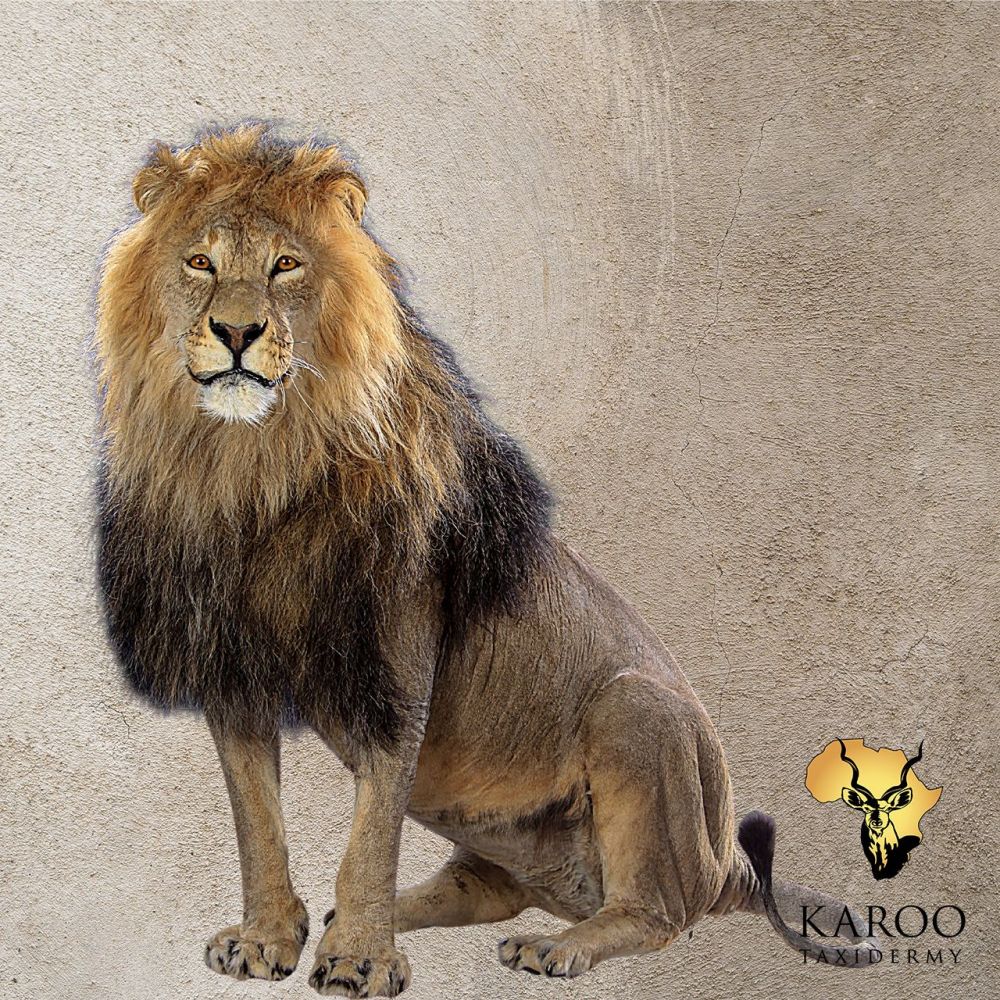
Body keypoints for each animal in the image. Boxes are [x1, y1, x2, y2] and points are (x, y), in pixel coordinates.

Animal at [95, 124, 877, 996]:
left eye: (285, 265)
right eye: (200, 262)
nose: (238, 334)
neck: (254, 468)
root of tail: (724, 862)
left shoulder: (397, 676)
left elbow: (369, 840)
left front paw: (359, 959)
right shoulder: (231, 673)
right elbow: (258, 825)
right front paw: (270, 939)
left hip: (640, 712)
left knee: (656, 912)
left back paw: (553, 948)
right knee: (487, 888)